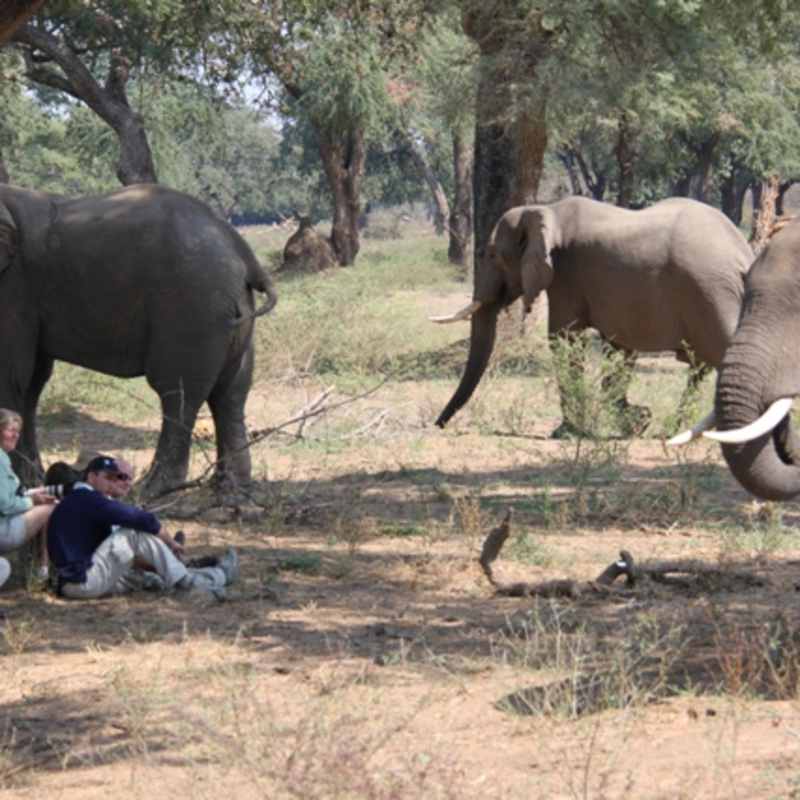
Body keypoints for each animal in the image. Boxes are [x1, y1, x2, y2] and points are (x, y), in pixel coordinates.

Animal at [0, 182, 277, 496]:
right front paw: (31, 483)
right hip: (234, 308)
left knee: (177, 392)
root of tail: (242, 251)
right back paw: (230, 489)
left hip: (192, 306)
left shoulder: (13, 286)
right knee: (231, 393)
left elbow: (12, 376)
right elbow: (31, 381)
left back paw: (152, 488)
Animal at [432, 195, 754, 437]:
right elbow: (620, 348)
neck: (547, 210)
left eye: (490, 255)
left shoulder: (567, 276)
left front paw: (566, 433)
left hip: (712, 293)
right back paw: (678, 430)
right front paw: (637, 421)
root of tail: (743, 252)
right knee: (701, 368)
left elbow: (564, 339)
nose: (438, 425)